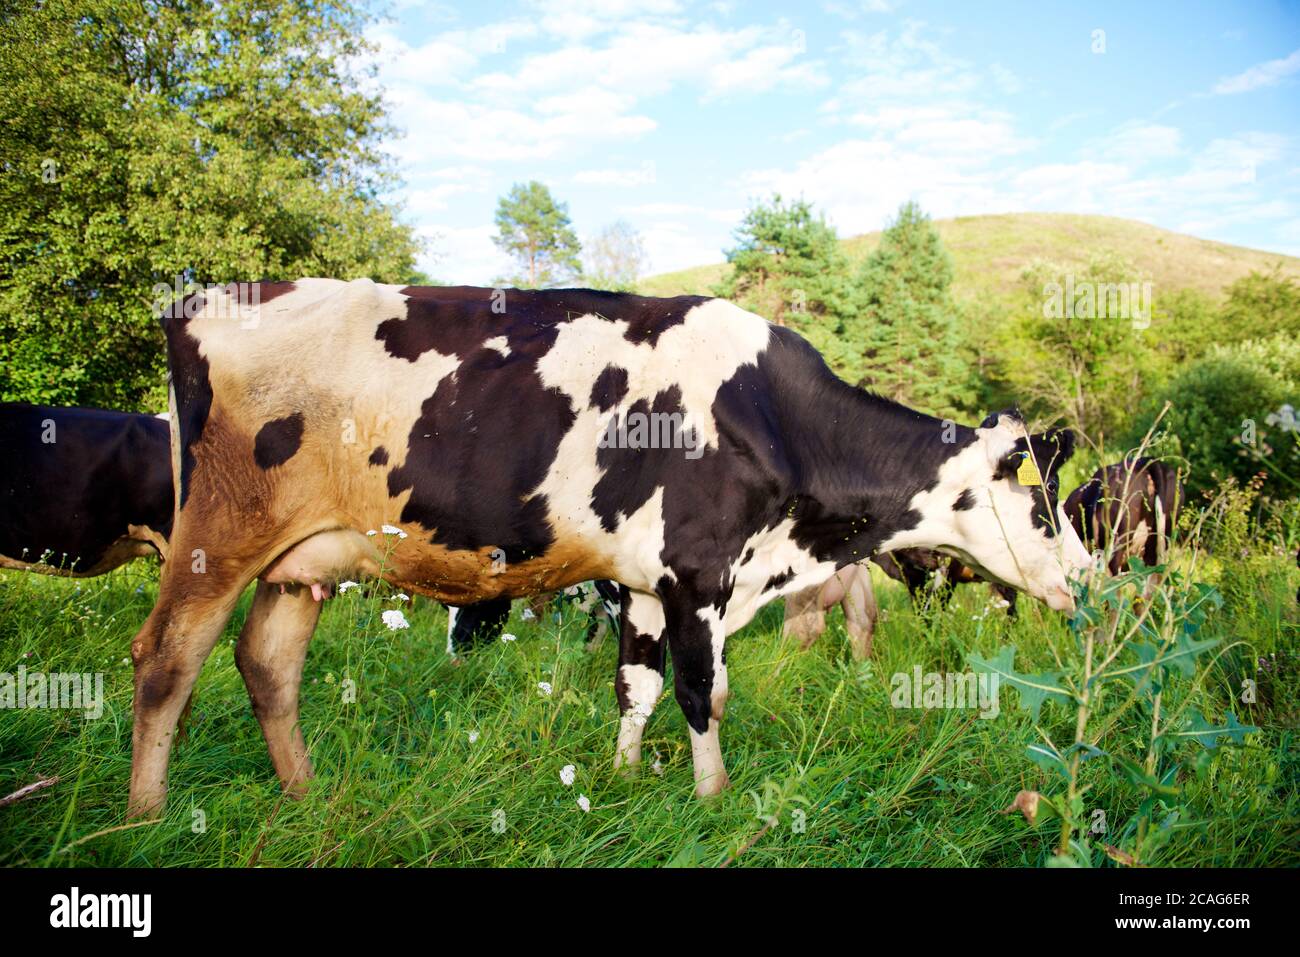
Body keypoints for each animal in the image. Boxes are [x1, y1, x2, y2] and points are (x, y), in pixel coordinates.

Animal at [125, 278, 1090, 817]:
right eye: (1043, 502)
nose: (1086, 574)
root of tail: (204, 300)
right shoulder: (700, 573)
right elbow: (704, 690)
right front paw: (711, 797)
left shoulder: (647, 583)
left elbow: (639, 684)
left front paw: (624, 778)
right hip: (218, 536)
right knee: (167, 658)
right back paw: (146, 814)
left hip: (302, 560)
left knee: (266, 662)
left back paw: (303, 793)